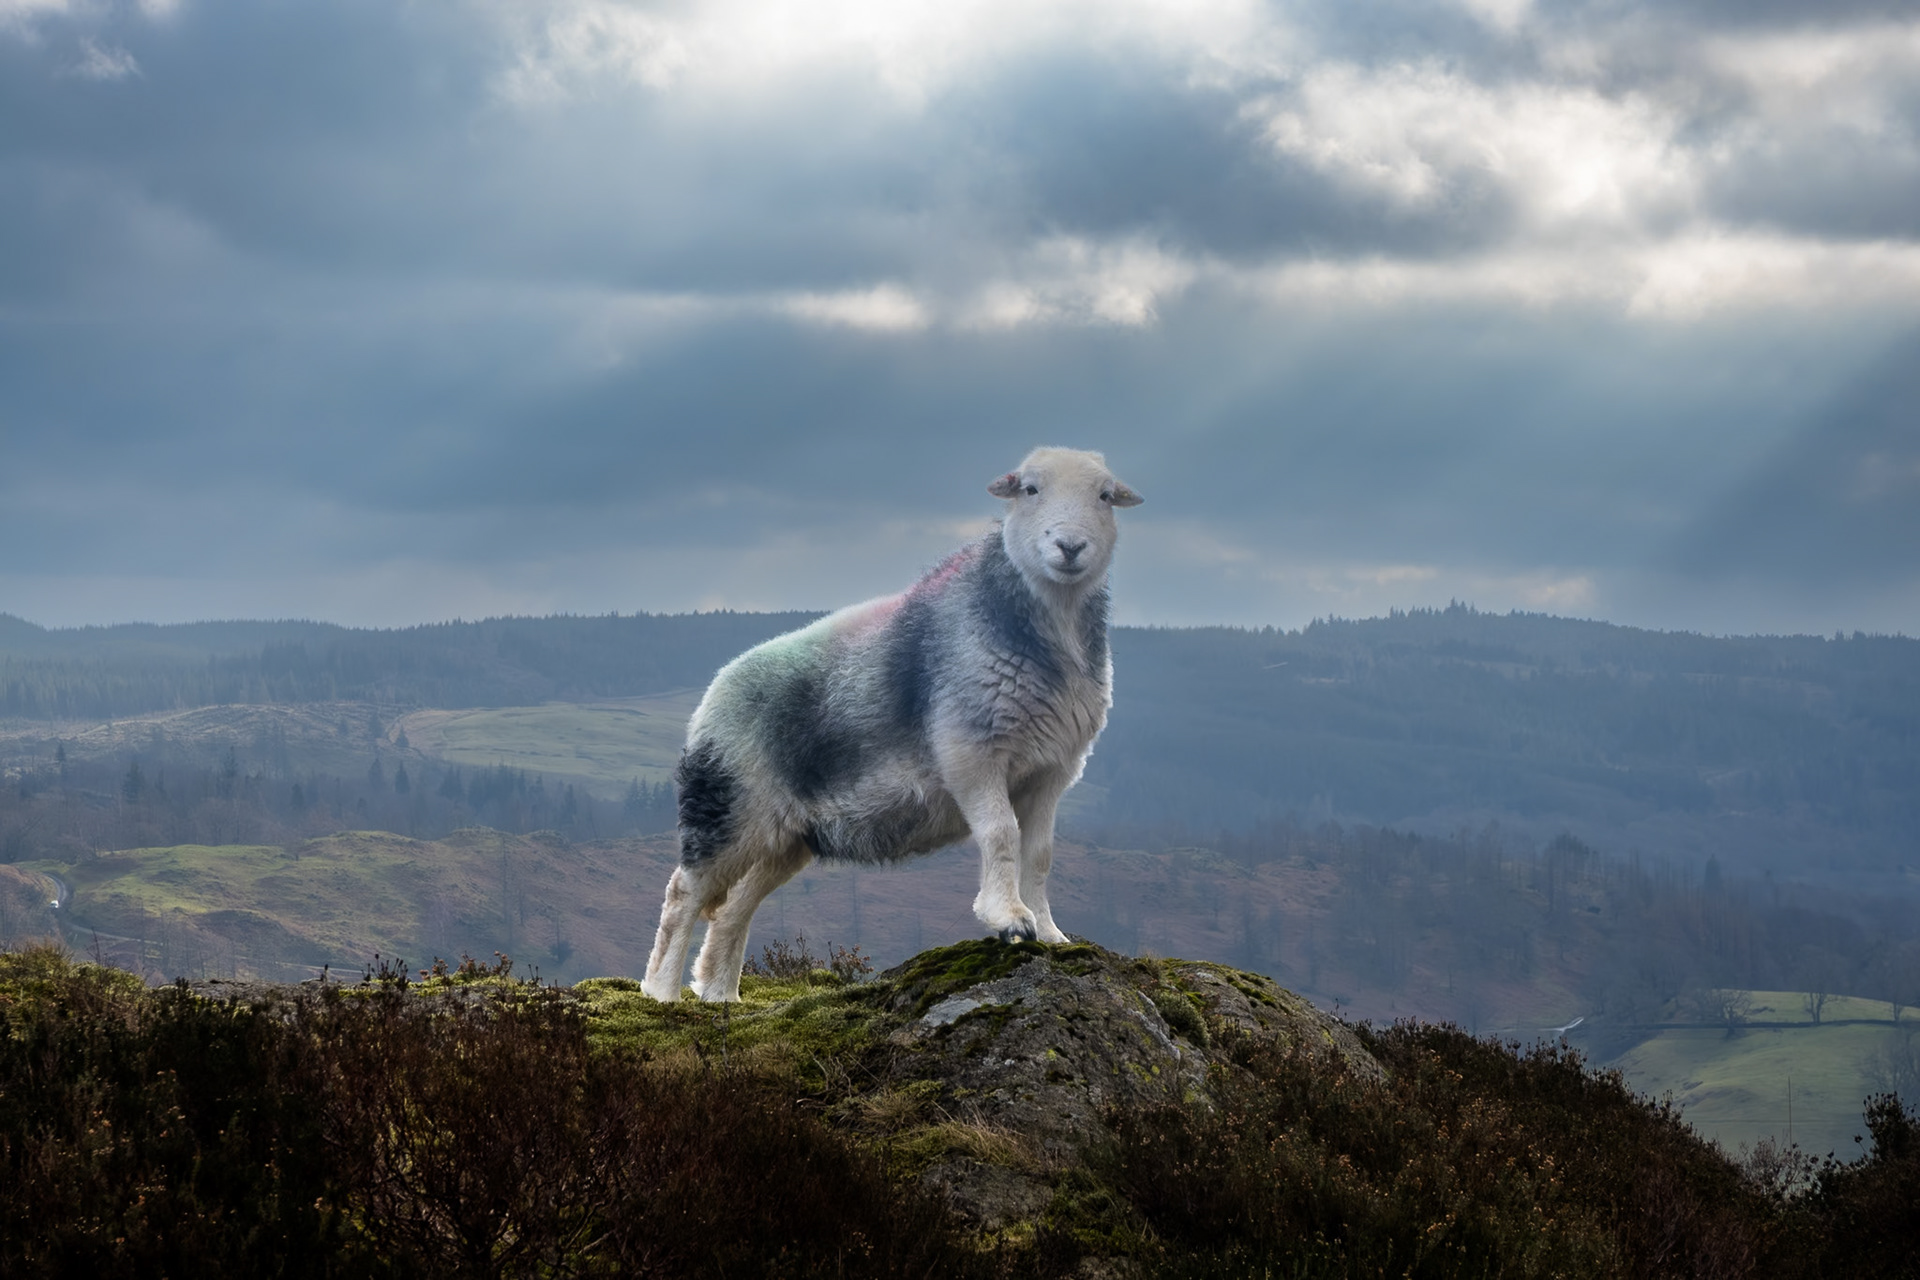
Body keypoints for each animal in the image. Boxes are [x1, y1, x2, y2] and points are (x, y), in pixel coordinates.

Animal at [640, 447, 1144, 1002]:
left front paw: (1052, 935)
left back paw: (720, 997)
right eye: (1030, 489)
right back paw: (661, 993)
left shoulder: (1051, 770)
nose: (1070, 546)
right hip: (729, 806)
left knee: (732, 909)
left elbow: (1039, 854)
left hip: (786, 836)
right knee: (682, 895)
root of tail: (712, 695)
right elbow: (1001, 833)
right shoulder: (972, 752)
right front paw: (1010, 920)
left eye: (1105, 496)